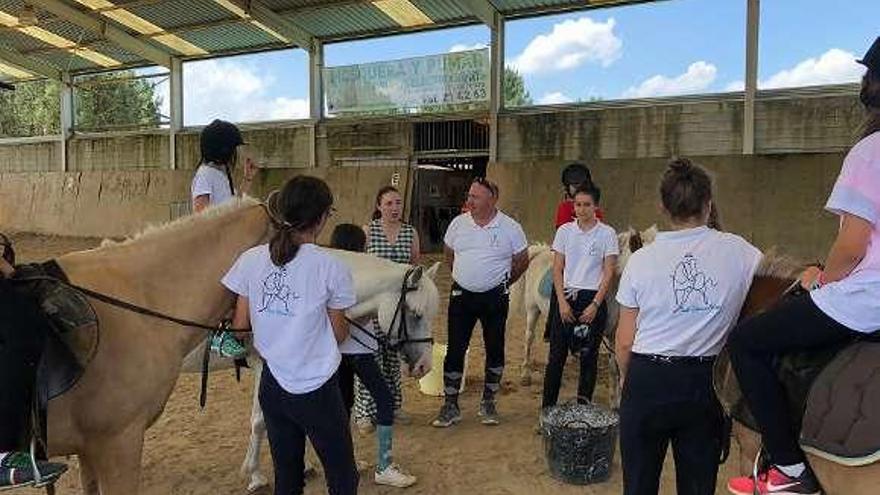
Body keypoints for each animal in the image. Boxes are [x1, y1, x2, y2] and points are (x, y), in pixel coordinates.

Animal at [183, 254, 440, 494]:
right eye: (416, 314)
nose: (424, 366)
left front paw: (303, 465)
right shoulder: (267, 367)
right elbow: (260, 421)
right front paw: (254, 474)